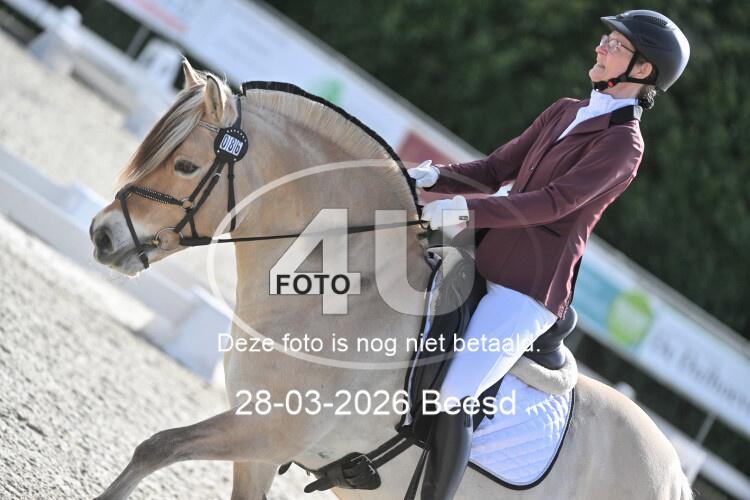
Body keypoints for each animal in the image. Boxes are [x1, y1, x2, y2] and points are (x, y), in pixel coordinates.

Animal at [89, 60, 693, 500]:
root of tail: (674, 474)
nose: (102, 235)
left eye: (186, 167)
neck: (341, 290)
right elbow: (158, 450)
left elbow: (157, 447)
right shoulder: (257, 448)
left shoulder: (267, 430)